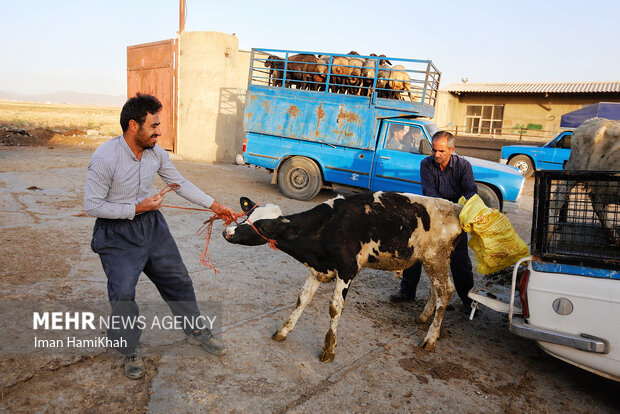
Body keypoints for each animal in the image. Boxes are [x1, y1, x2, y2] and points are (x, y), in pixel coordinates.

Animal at [224, 192, 464, 362]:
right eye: (247, 215)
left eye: (263, 226)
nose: (227, 232)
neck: (327, 226)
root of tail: (454, 206)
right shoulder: (318, 269)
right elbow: (302, 299)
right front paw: (283, 331)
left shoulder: (347, 269)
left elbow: (334, 307)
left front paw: (329, 349)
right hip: (430, 261)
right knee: (435, 290)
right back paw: (424, 317)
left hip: (437, 259)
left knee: (446, 292)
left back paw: (430, 338)